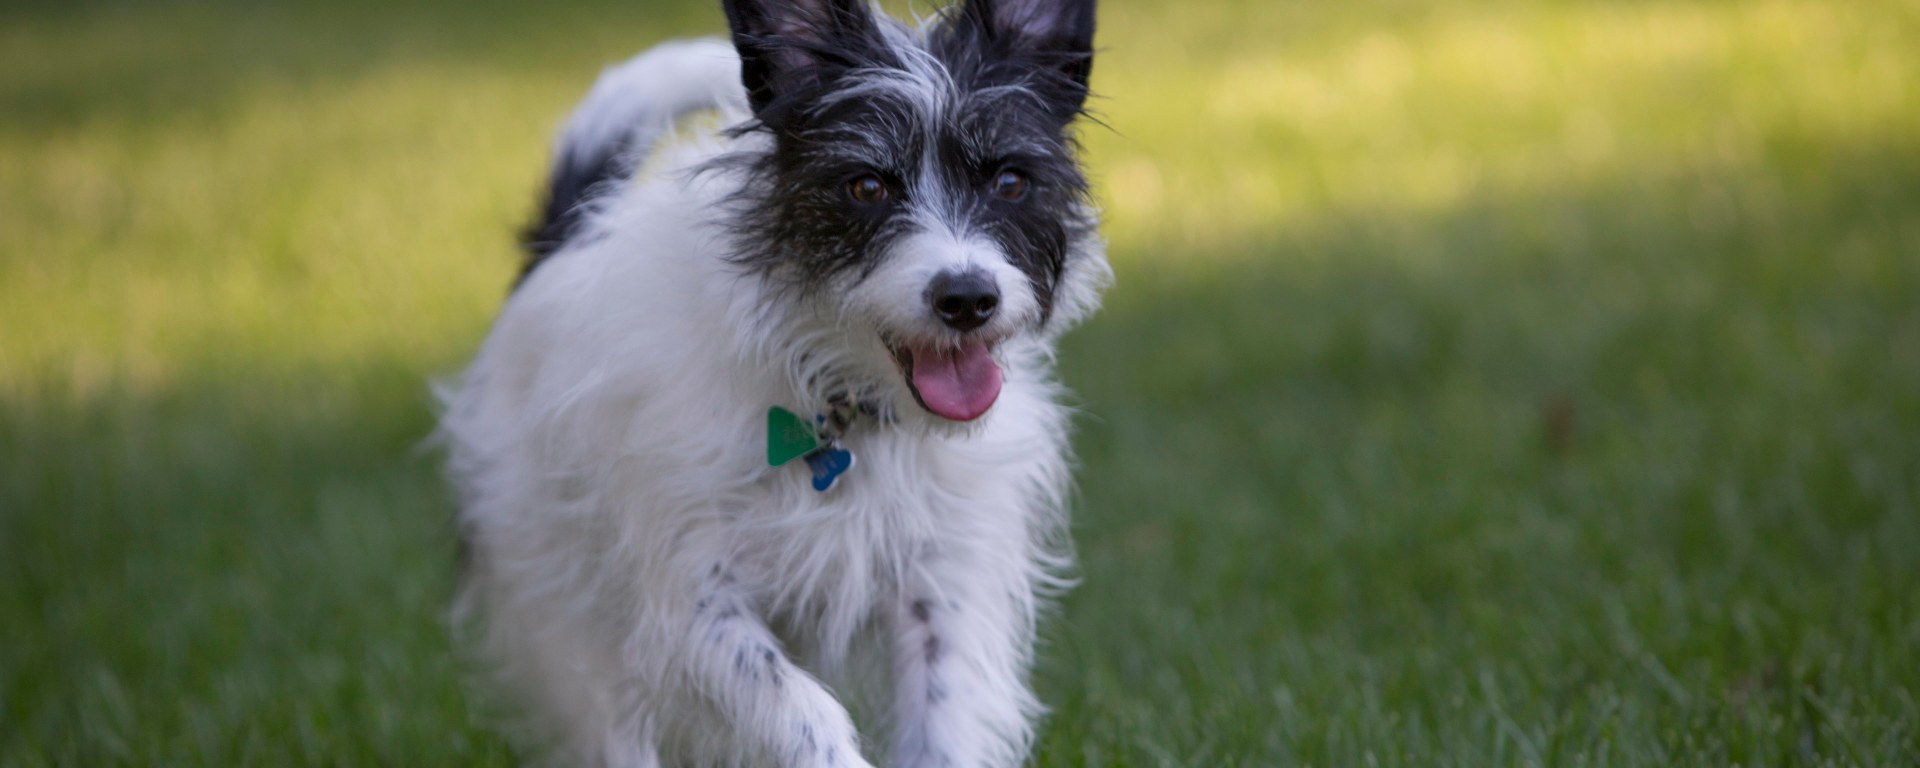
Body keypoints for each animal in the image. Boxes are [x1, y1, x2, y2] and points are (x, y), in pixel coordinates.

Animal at [438, 0, 1108, 764]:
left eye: (1010, 182)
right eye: (866, 186)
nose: (966, 298)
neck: (842, 409)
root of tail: (561, 242)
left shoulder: (942, 589)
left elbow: (942, 720)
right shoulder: (693, 603)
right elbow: (800, 709)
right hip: (572, 610)